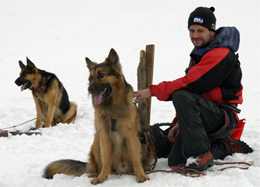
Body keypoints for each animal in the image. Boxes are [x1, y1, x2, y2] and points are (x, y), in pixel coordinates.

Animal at [41, 48, 153, 184]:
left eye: (101, 75)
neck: (112, 109)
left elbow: (136, 158)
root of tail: (122, 170)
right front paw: (102, 177)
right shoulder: (104, 136)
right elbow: (105, 159)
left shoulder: (131, 135)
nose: (90, 89)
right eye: (90, 78)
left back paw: (145, 167)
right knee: (99, 166)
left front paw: (141, 174)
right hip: (96, 140)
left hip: (145, 139)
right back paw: (95, 174)